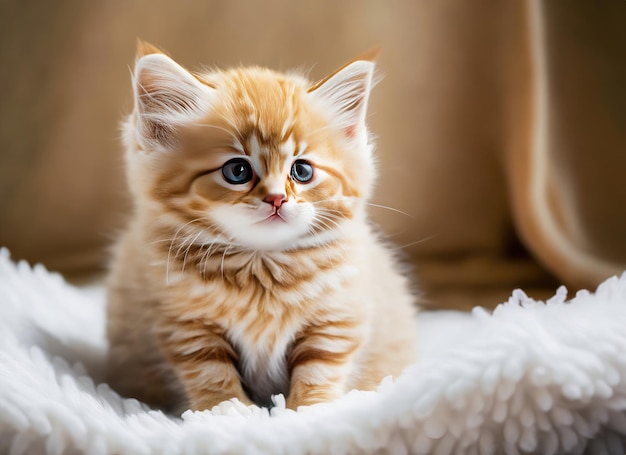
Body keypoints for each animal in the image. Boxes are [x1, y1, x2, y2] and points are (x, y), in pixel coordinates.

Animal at [106, 41, 420, 414]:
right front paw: (227, 411)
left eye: (302, 171)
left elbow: (320, 368)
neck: (261, 268)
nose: (276, 199)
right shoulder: (184, 325)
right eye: (237, 171)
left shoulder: (338, 317)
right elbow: (210, 372)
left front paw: (307, 411)